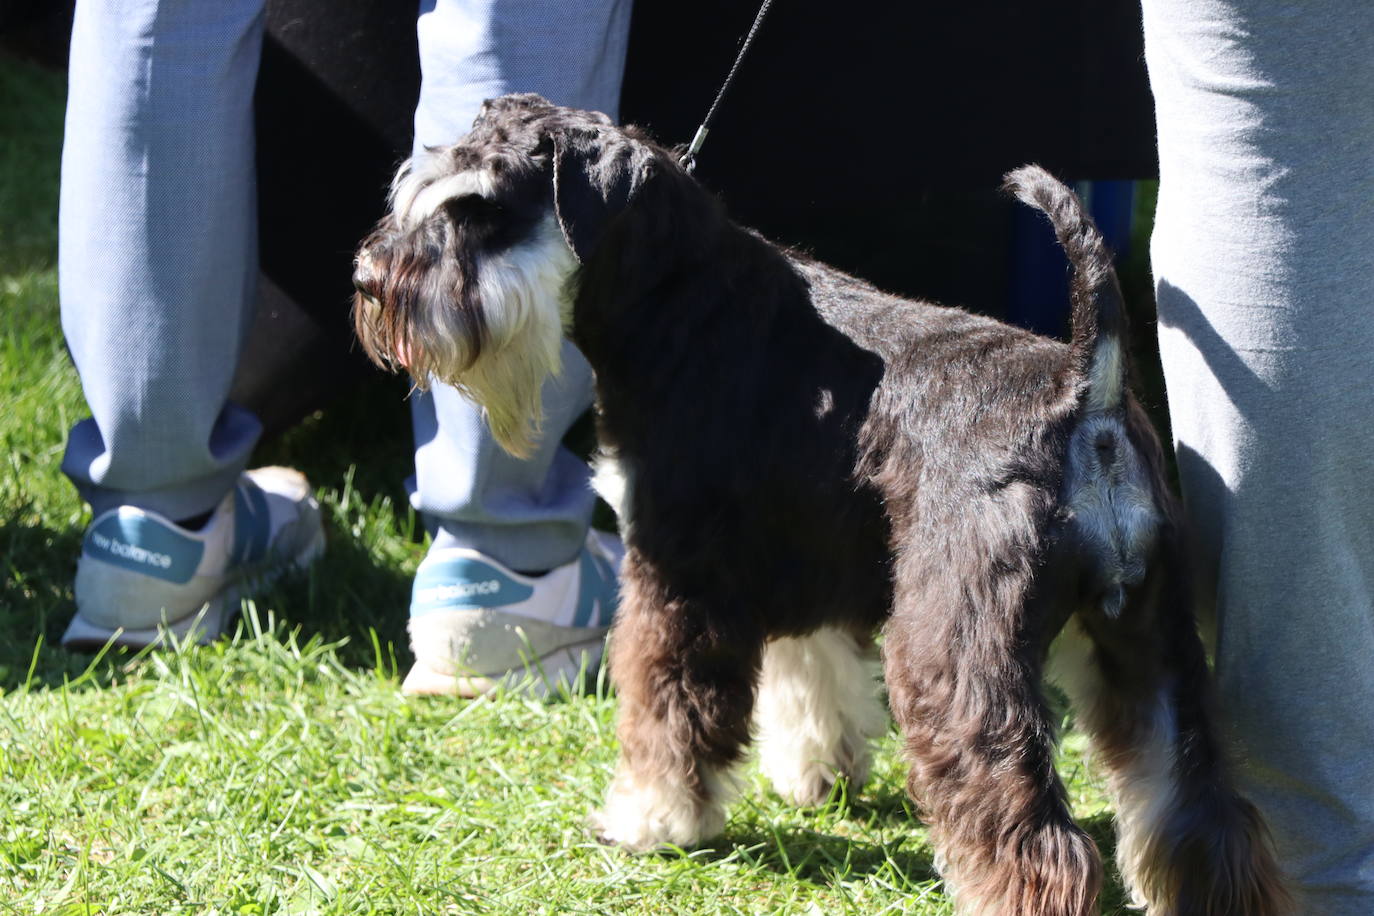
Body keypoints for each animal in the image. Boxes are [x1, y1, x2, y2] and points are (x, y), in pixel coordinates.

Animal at [351, 94, 1286, 916]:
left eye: (479, 209)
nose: (366, 278)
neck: (681, 299)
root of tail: (1085, 399)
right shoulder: (810, 556)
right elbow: (811, 672)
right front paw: (818, 771)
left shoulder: (677, 575)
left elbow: (668, 711)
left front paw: (652, 819)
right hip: (1151, 643)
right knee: (1200, 814)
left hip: (951, 655)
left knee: (1038, 842)